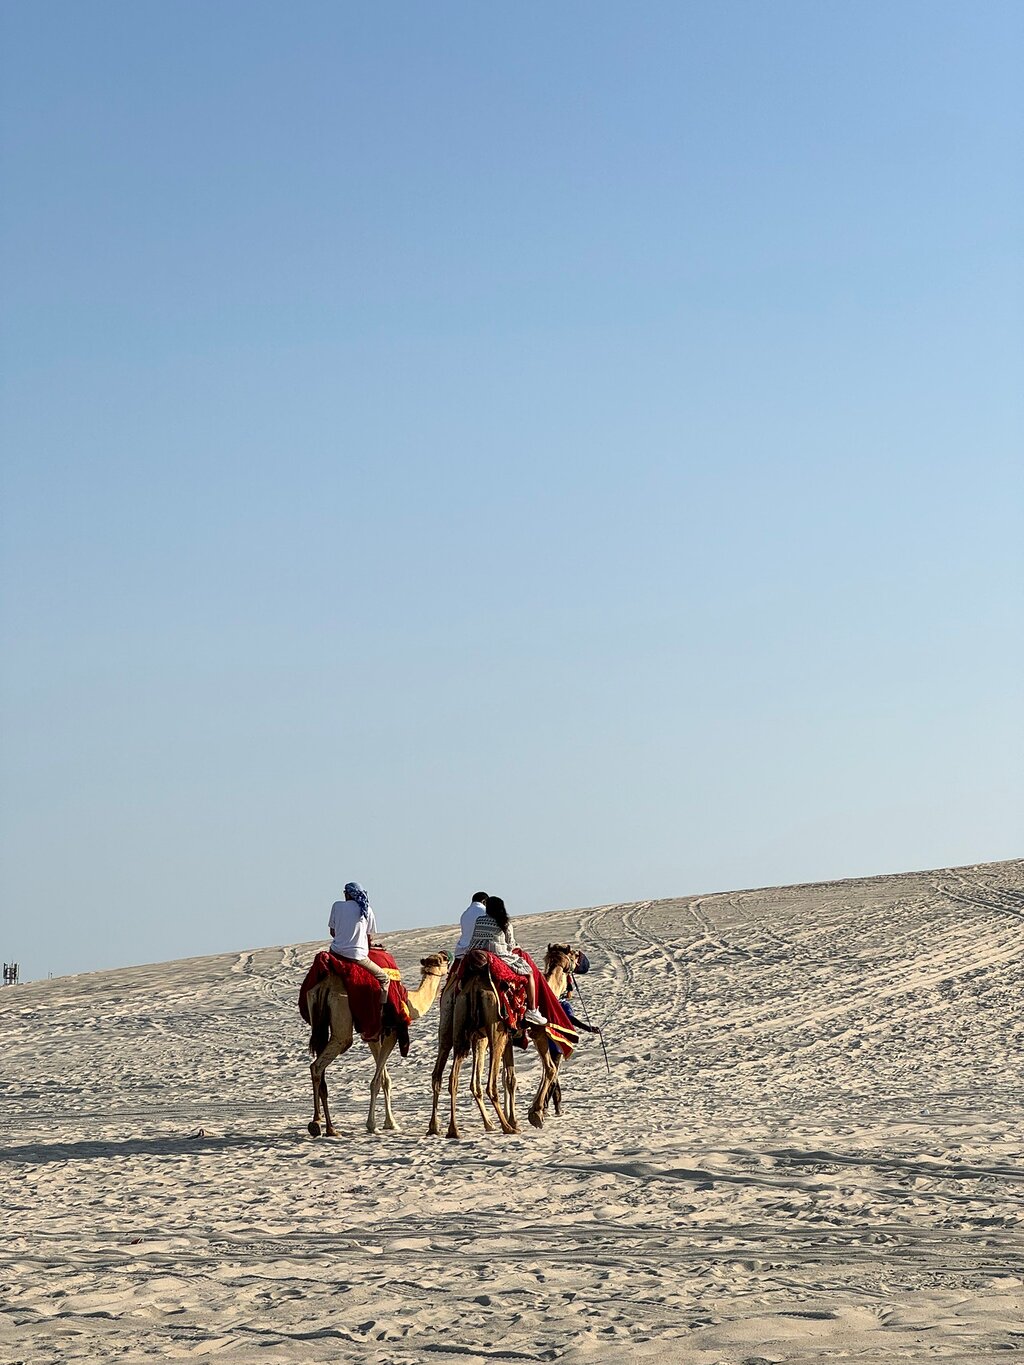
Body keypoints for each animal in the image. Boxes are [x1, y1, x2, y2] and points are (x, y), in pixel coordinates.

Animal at [307, 952, 449, 1137]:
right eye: (443, 960)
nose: (447, 955)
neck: (408, 1000)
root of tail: (325, 986)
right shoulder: (392, 1032)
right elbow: (376, 1082)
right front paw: (372, 1125)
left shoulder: (373, 1037)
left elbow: (384, 1079)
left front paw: (391, 1123)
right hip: (342, 1022)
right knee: (318, 1065)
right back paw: (317, 1123)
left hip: (319, 1023)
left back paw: (329, 1128)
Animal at [427, 942, 578, 1138]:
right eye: (573, 955)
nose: (579, 956)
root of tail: (474, 985)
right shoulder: (537, 1032)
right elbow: (549, 1069)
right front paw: (534, 1114)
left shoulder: (508, 1039)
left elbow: (510, 1079)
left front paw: (516, 1118)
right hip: (494, 1030)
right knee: (488, 1084)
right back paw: (505, 1127)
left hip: (454, 1028)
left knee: (447, 1076)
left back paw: (445, 1128)